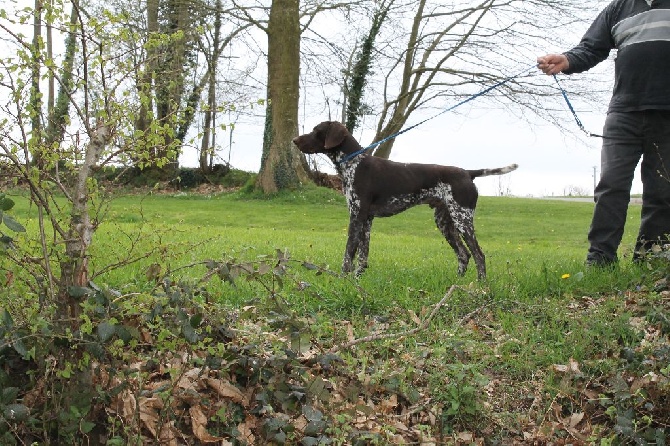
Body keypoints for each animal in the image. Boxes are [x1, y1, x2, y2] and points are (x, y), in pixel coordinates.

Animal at [294, 119, 520, 278]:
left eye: (316, 130)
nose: (294, 140)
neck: (354, 163)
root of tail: (467, 173)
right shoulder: (366, 219)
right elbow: (362, 256)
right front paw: (357, 279)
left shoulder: (356, 216)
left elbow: (349, 253)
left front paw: (343, 279)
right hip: (445, 221)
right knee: (464, 255)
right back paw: (457, 284)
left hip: (462, 219)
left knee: (479, 255)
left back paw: (481, 287)